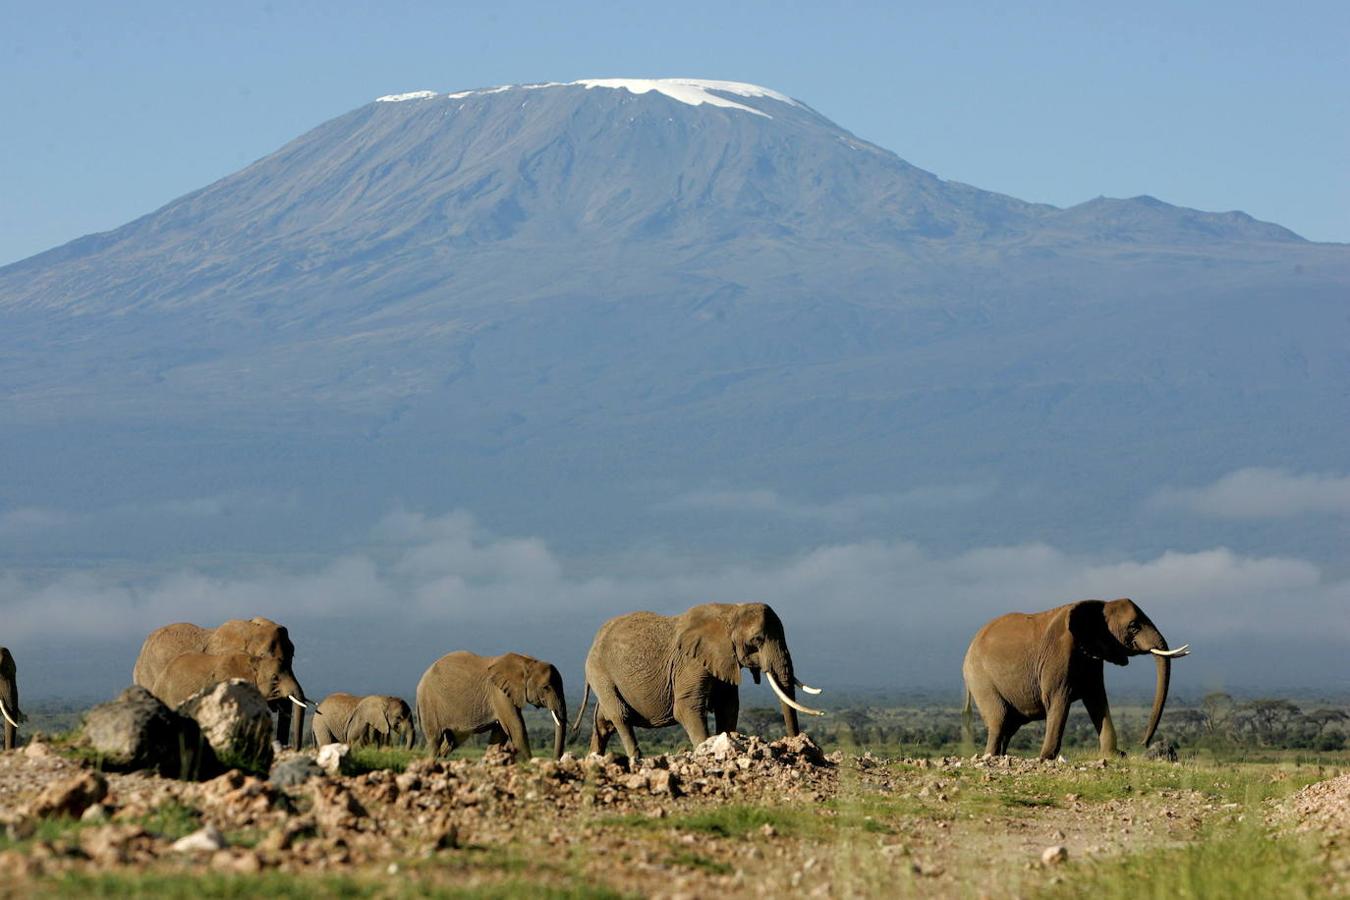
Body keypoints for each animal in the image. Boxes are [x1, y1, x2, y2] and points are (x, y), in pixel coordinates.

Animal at [421, 650, 569, 766]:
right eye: (546, 687)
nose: (555, 761)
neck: (527, 662)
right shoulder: (499, 693)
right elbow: (516, 728)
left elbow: (500, 733)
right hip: (429, 704)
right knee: (435, 740)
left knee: (450, 742)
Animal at [569, 604, 820, 761]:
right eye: (757, 640)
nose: (796, 744)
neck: (731, 611)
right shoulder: (691, 662)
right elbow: (686, 708)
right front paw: (706, 751)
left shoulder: (723, 661)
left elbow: (728, 708)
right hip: (600, 672)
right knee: (620, 716)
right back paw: (635, 759)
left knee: (604, 722)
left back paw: (594, 758)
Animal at [961, 599, 1193, 761]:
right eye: (1134, 626)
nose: (1142, 743)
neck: (1100, 605)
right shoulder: (1058, 654)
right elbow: (1058, 700)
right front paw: (1045, 758)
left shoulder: (1092, 658)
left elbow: (1097, 700)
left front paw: (1114, 755)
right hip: (981, 679)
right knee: (999, 720)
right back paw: (991, 757)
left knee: (1009, 726)